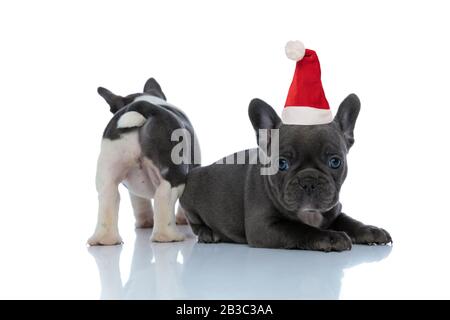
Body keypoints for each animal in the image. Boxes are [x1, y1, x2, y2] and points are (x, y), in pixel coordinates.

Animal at [88, 77, 200, 245]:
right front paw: (182, 219)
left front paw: (145, 223)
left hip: (107, 174)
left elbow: (139, 201)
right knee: (163, 198)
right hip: (174, 174)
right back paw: (169, 236)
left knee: (108, 197)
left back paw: (105, 239)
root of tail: (141, 106)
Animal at [179, 94, 390, 251]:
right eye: (281, 164)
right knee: (195, 223)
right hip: (190, 197)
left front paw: (371, 230)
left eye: (335, 162)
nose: (308, 181)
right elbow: (299, 229)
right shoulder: (263, 226)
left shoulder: (333, 211)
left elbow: (350, 221)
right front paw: (330, 237)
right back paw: (208, 233)